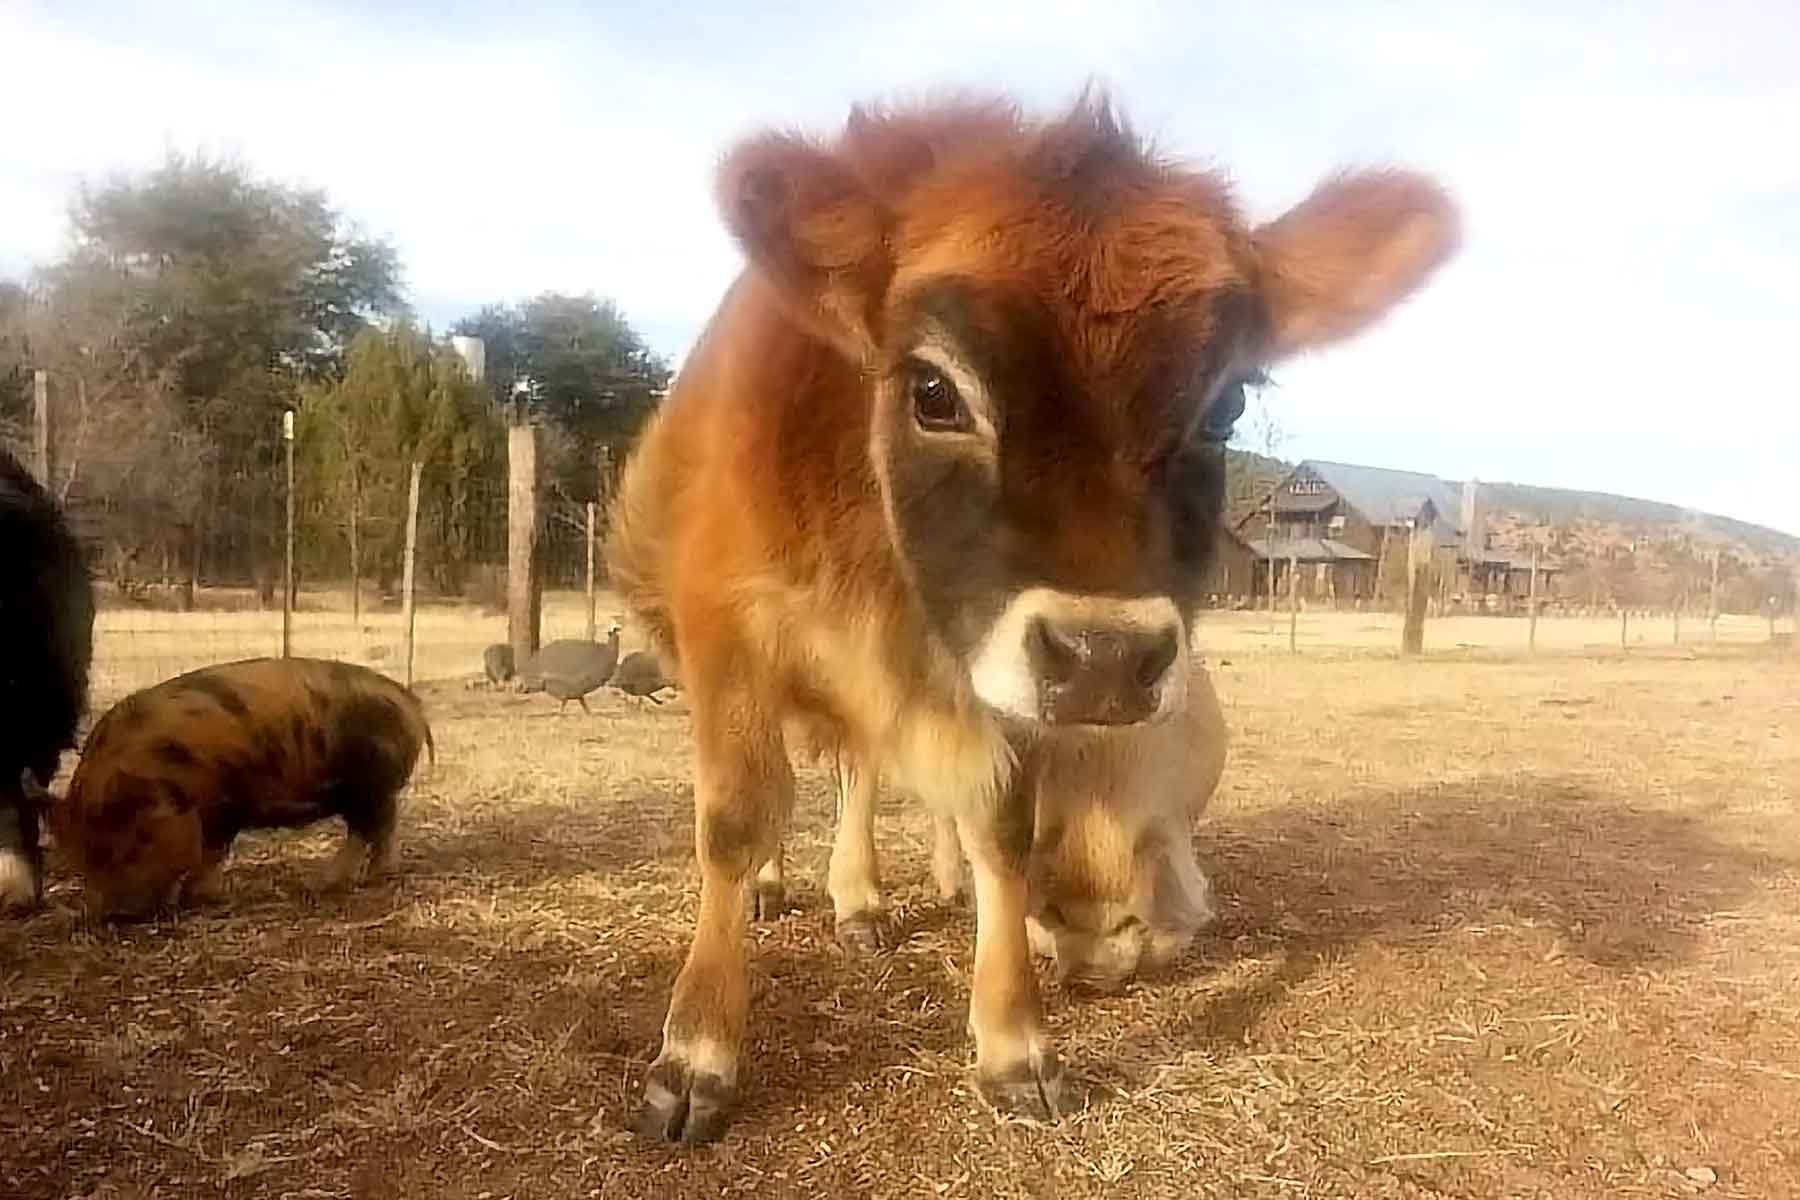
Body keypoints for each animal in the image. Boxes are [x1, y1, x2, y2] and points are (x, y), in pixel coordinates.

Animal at [51, 658, 432, 921]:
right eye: (80, 857)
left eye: (130, 844)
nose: (115, 915)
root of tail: (408, 699)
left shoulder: (226, 803)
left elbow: (213, 851)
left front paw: (206, 899)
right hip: (368, 791)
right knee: (378, 828)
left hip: (370, 786)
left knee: (371, 830)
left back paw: (333, 884)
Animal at [608, 86, 1461, 1144]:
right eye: (934, 389)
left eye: (1224, 408)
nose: (1107, 658)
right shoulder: (725, 624)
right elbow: (733, 820)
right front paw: (697, 1054)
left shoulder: (1002, 682)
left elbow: (1002, 836)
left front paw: (1015, 1043)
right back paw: (784, 889)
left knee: (861, 773)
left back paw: (864, 900)